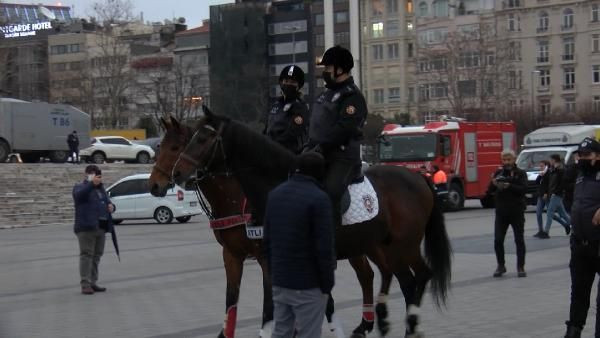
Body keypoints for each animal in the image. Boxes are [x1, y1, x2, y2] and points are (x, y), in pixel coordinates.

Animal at [164, 109, 450, 336]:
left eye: (203, 139)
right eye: (188, 139)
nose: (177, 174)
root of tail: (417, 177)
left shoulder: (276, 259)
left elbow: (287, 306)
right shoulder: (242, 256)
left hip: (402, 244)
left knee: (414, 277)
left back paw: (405, 326)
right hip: (384, 245)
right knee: (403, 278)